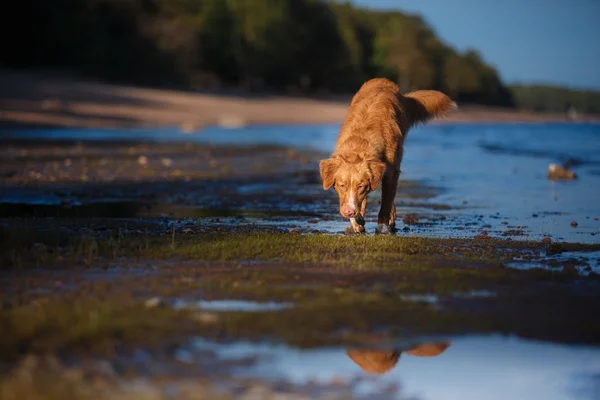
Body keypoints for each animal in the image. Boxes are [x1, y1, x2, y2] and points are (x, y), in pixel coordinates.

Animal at [318, 77, 454, 234]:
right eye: (341, 185)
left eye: (361, 186)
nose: (349, 212)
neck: (362, 139)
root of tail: (383, 80)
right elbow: (359, 203)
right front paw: (357, 221)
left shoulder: (392, 172)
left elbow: (386, 203)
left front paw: (382, 226)